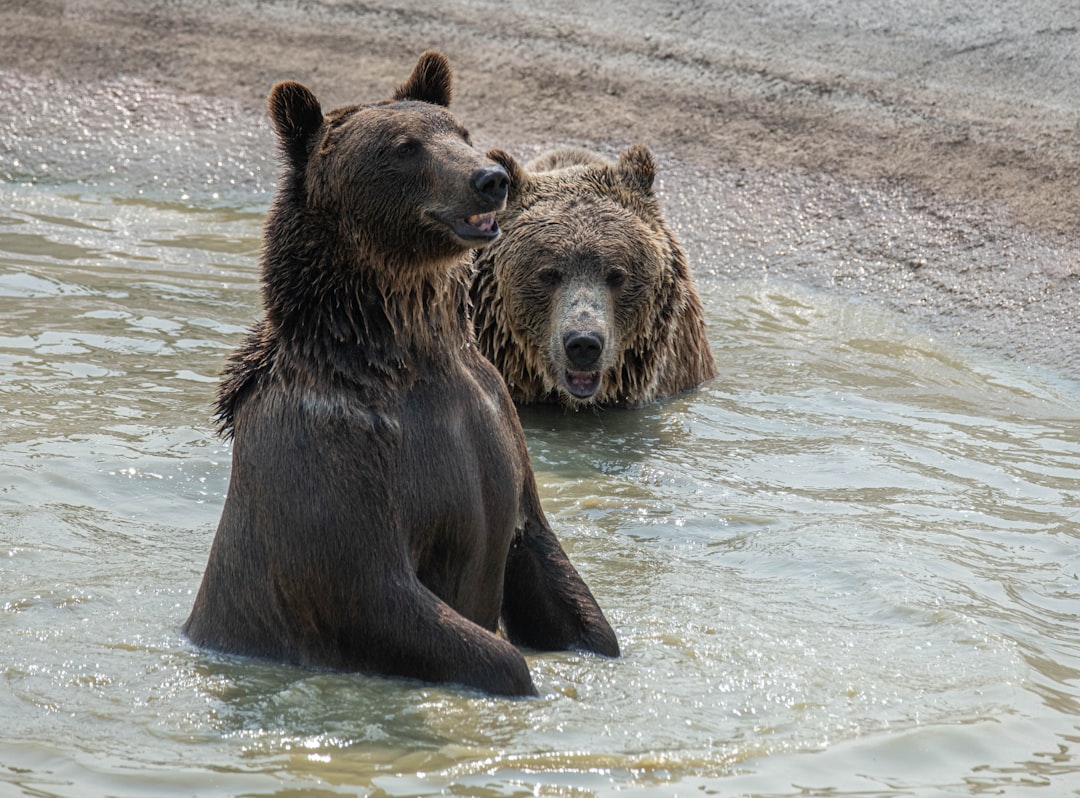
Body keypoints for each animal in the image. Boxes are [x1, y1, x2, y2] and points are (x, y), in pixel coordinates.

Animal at [183, 51, 617, 699]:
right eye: (405, 147)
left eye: (461, 132)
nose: (490, 177)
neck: (405, 354)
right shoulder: (333, 457)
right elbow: (375, 592)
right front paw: (518, 678)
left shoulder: (495, 423)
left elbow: (543, 557)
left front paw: (595, 646)